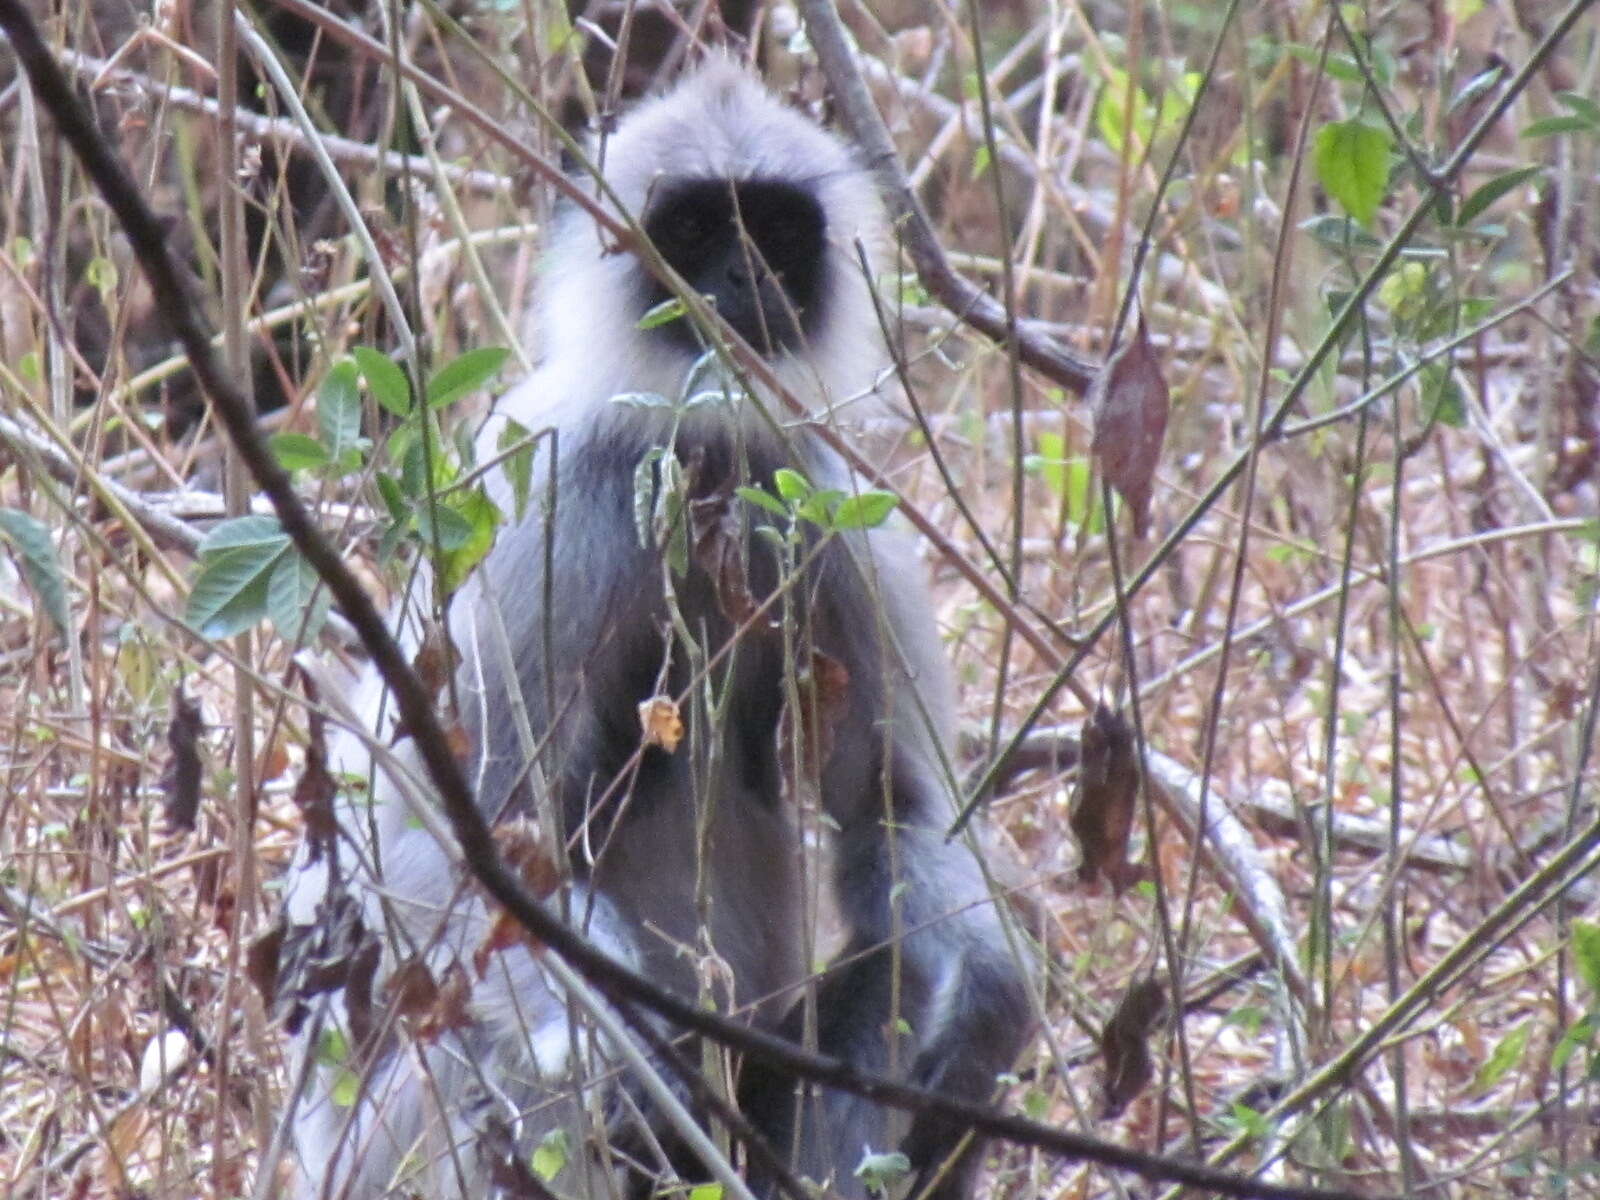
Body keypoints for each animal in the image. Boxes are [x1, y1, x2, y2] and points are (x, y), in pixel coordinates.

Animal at [281, 56, 1030, 1200]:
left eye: (775, 229)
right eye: (690, 229)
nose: (740, 279)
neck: (699, 461)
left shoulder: (824, 512)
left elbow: (893, 808)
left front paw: (990, 986)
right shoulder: (551, 497)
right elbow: (426, 834)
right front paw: (609, 1036)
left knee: (893, 969)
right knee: (525, 1060)